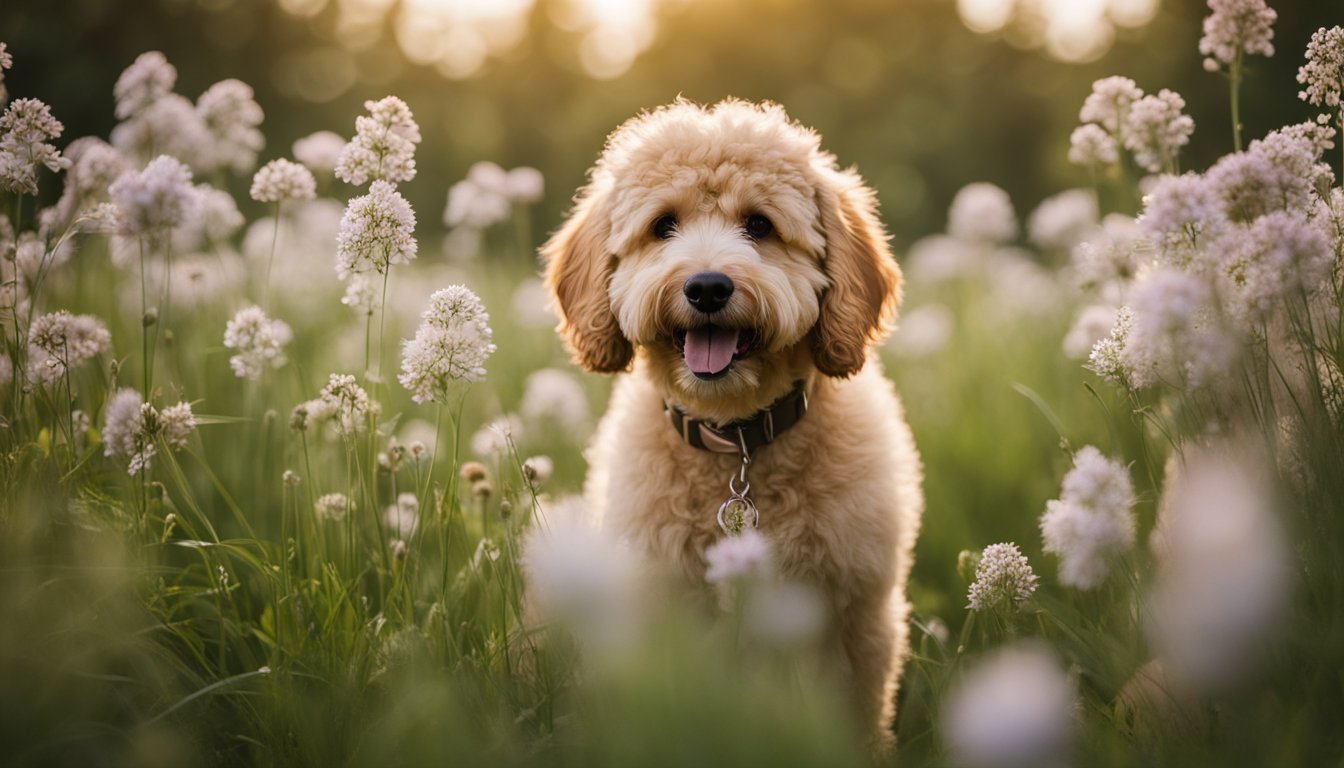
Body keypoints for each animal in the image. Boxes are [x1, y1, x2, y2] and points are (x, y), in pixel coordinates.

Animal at [540, 98, 919, 747]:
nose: (708, 286)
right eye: (663, 225)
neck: (735, 438)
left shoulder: (853, 611)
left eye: (760, 225)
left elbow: (850, 713)